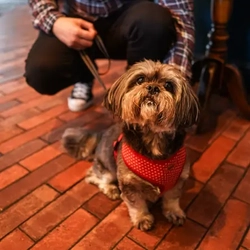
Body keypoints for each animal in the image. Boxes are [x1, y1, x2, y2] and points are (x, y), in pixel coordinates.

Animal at [62, 60, 199, 230]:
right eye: (140, 80)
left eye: (168, 85)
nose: (153, 87)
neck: (153, 137)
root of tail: (102, 134)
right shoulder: (129, 184)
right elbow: (136, 204)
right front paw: (142, 218)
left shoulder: (178, 180)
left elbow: (172, 198)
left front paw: (174, 212)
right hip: (108, 168)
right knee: (94, 177)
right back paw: (111, 189)